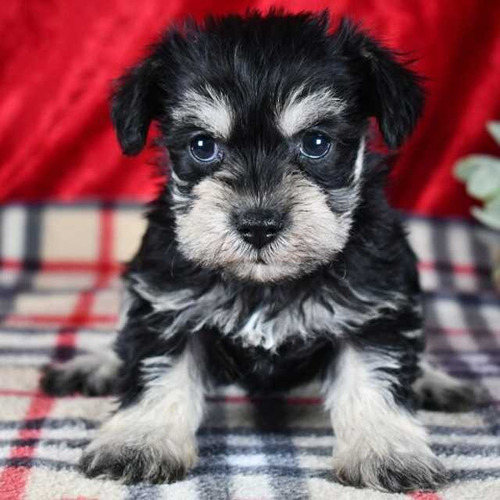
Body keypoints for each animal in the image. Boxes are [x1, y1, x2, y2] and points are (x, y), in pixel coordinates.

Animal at [42, 10, 480, 492]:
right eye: (202, 145)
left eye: (316, 142)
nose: (258, 226)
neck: (266, 284)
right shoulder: (166, 303)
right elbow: (157, 369)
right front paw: (139, 440)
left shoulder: (373, 307)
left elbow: (372, 373)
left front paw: (386, 449)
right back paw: (96, 364)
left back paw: (433, 379)